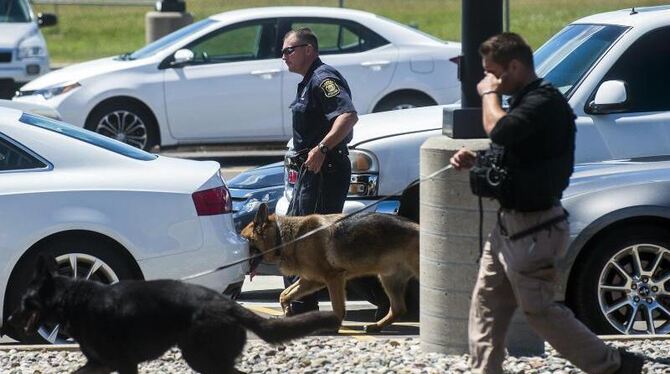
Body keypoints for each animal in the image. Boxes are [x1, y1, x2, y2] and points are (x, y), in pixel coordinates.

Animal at [3, 256, 342, 374]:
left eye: (25, 302)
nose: (6, 320)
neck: (73, 300)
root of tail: (229, 305)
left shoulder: (124, 365)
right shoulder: (99, 365)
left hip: (202, 358)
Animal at [242, 203, 420, 332]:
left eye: (245, 239)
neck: (285, 238)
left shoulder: (333, 278)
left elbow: (338, 307)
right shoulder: (311, 281)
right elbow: (284, 294)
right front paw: (287, 311)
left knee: (399, 307)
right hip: (389, 280)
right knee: (398, 309)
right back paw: (375, 326)